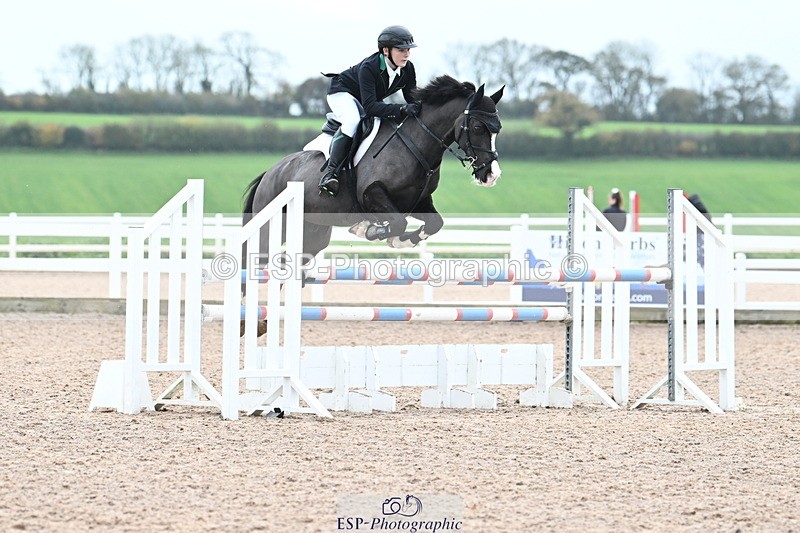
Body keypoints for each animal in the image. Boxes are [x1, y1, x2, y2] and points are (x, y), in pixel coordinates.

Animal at [242, 75, 504, 265]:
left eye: (498, 129)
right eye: (478, 127)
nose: (492, 175)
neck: (414, 143)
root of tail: (269, 173)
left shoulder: (418, 202)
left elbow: (434, 224)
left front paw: (403, 242)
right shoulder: (372, 193)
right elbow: (397, 223)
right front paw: (368, 230)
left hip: (313, 231)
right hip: (269, 226)